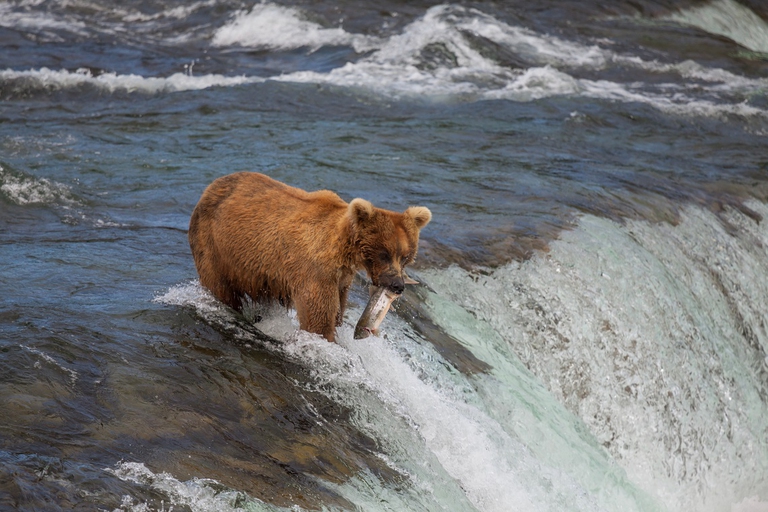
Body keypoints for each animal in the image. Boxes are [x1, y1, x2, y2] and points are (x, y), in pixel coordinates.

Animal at [188, 172, 432, 342]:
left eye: (406, 257)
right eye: (384, 254)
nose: (397, 285)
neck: (343, 252)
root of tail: (212, 186)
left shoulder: (342, 279)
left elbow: (337, 312)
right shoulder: (315, 272)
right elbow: (318, 320)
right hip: (214, 245)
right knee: (220, 287)